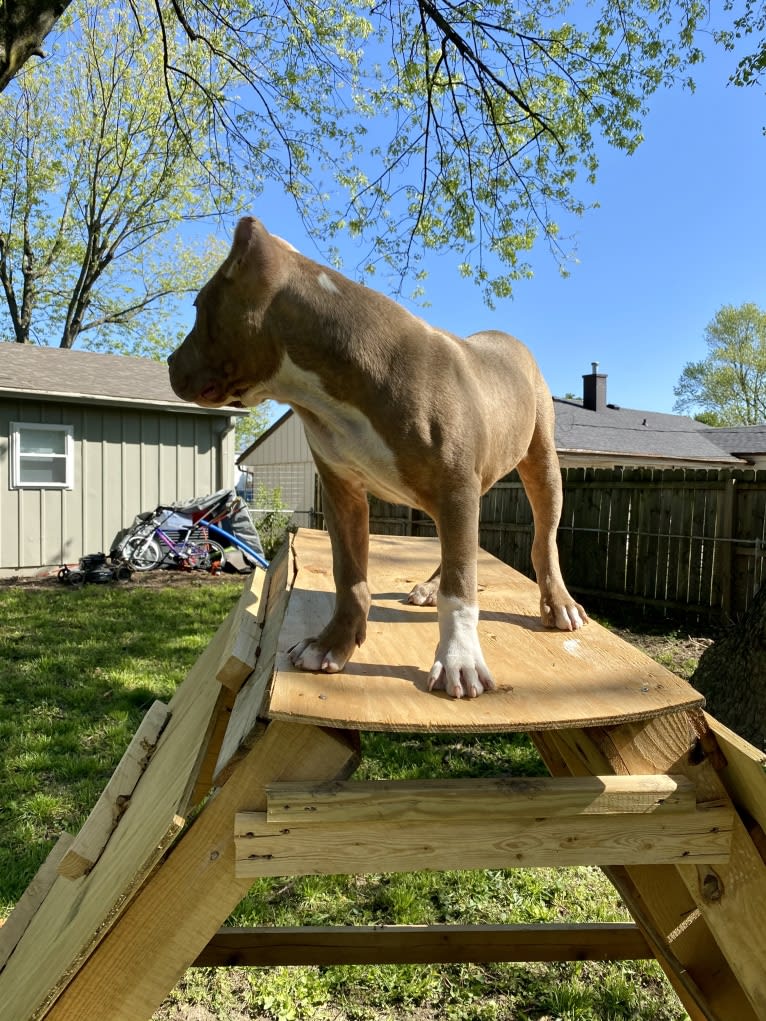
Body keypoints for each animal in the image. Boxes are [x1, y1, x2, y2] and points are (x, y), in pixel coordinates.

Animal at [167, 213, 588, 694]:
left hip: (540, 464)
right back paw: (429, 586)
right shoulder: (343, 493)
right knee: (457, 548)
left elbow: (461, 588)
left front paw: (459, 659)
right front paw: (332, 644)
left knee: (540, 541)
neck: (323, 390)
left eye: (198, 307)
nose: (169, 361)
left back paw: (558, 603)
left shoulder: (454, 489)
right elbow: (351, 576)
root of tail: (508, 339)